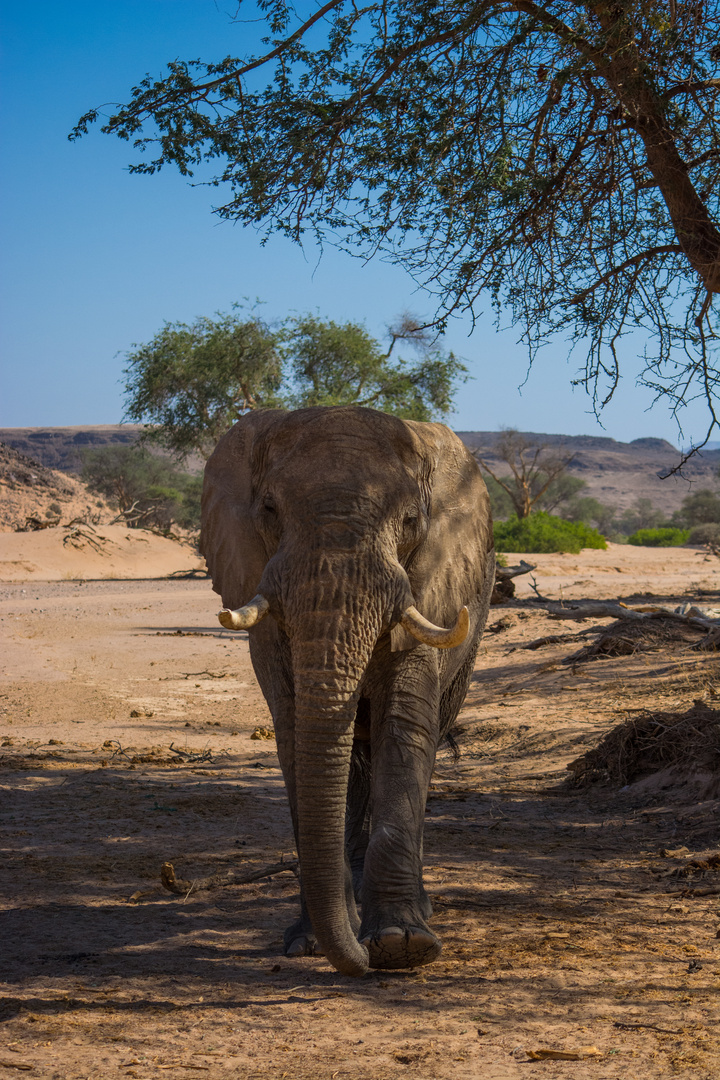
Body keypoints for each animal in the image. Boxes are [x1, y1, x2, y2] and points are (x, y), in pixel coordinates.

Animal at [198, 406, 496, 980]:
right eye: (269, 509)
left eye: (411, 522)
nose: (360, 964)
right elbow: (295, 732)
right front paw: (313, 943)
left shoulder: (429, 584)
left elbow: (403, 725)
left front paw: (401, 946)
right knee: (353, 758)